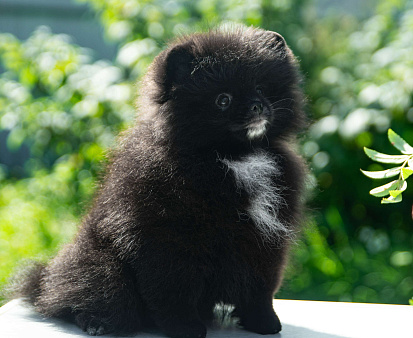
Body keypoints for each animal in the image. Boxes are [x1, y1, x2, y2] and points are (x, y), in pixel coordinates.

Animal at [11, 25, 306, 336]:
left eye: (261, 88)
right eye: (222, 99)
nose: (257, 106)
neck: (230, 156)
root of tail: (45, 280)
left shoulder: (265, 237)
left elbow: (260, 288)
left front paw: (264, 322)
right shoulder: (165, 237)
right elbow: (171, 288)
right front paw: (184, 326)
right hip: (102, 267)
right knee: (92, 295)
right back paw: (96, 322)